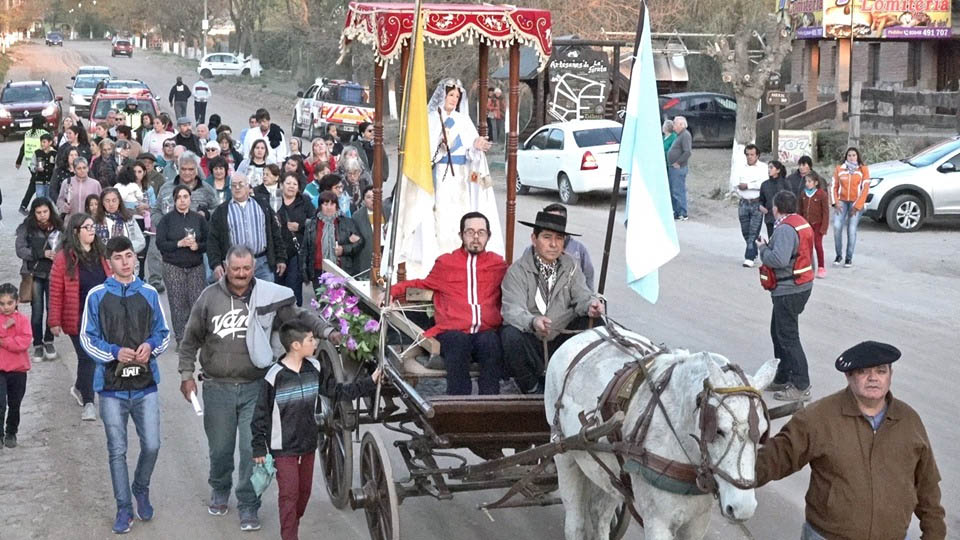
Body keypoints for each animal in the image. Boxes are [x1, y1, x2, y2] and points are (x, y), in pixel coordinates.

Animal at [544, 324, 776, 540]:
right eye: (718, 430)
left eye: (762, 433)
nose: (742, 508)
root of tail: (585, 333)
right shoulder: (658, 521)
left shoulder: (698, 522)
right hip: (564, 453)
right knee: (575, 522)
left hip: (608, 473)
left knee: (600, 515)